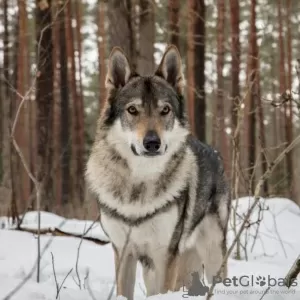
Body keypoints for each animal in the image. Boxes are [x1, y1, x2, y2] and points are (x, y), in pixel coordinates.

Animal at [85, 45, 231, 300]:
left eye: (165, 110)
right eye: (132, 110)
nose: (152, 143)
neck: (138, 186)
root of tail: (213, 151)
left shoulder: (165, 256)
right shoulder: (123, 253)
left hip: (211, 252)